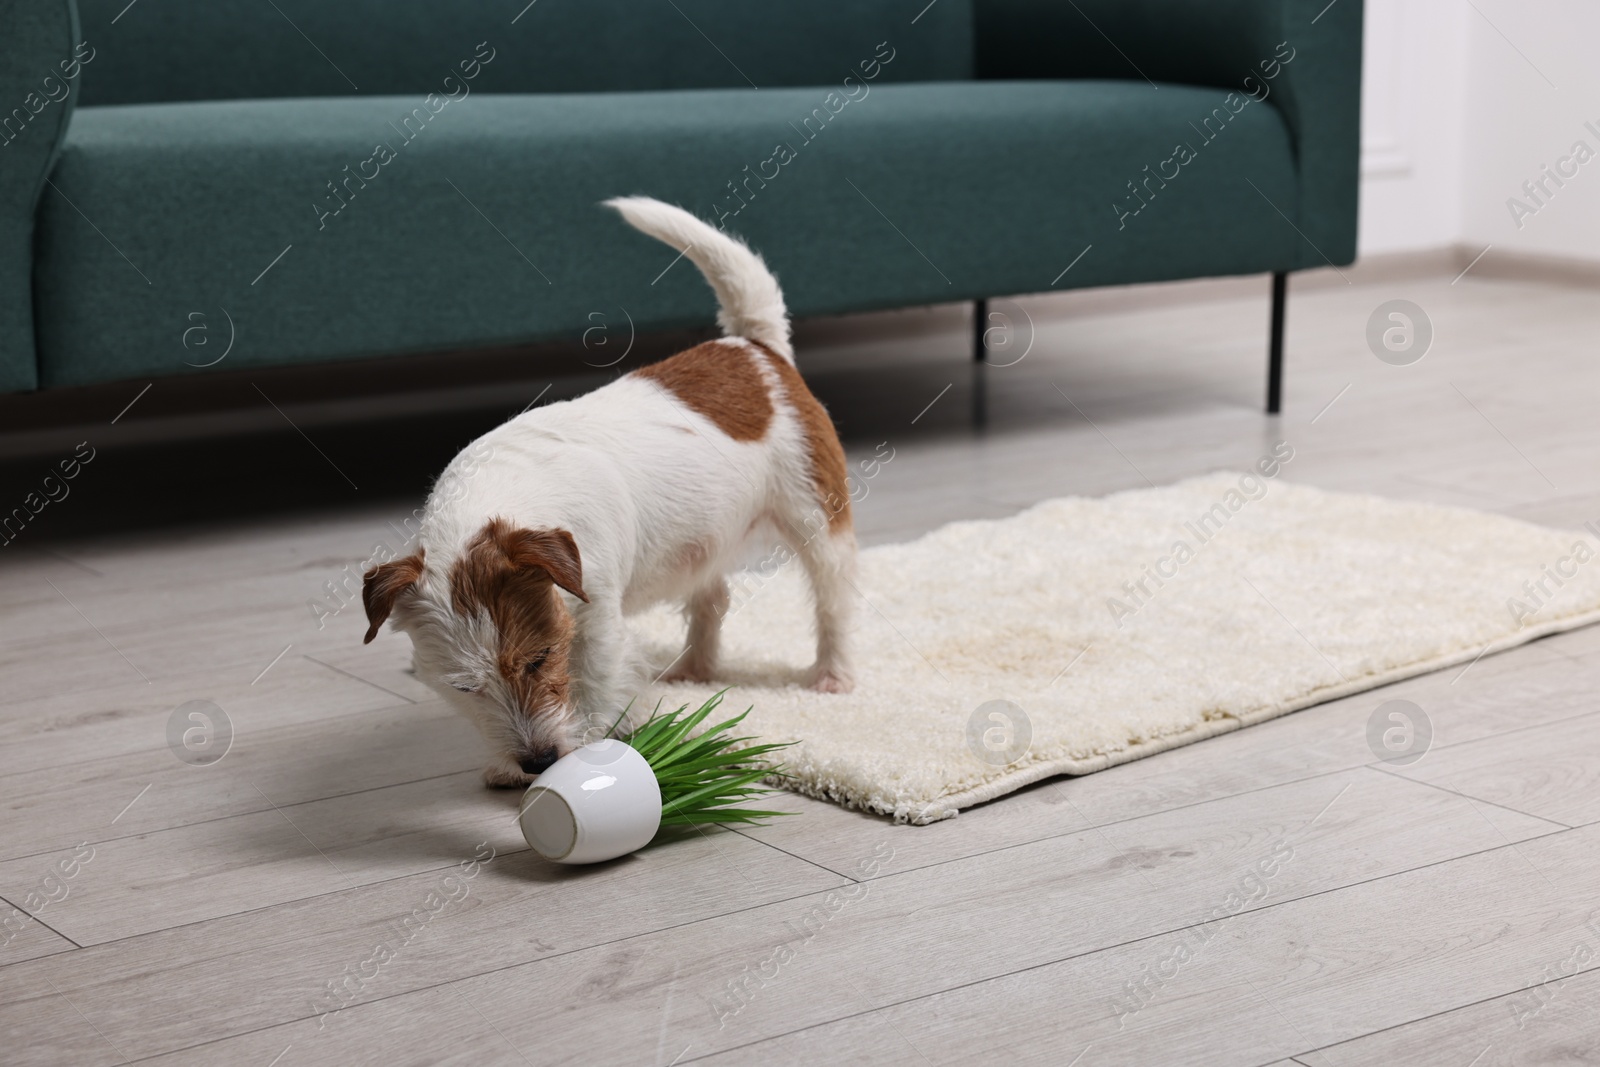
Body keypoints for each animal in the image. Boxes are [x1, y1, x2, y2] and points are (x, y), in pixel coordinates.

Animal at [366, 195, 864, 790]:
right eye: (465, 688)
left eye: (540, 659)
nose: (537, 762)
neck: (501, 497)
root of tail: (755, 348)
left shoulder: (598, 619)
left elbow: (595, 683)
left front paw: (584, 748)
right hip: (703, 535)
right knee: (712, 596)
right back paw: (695, 669)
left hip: (815, 514)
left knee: (834, 595)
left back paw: (833, 674)